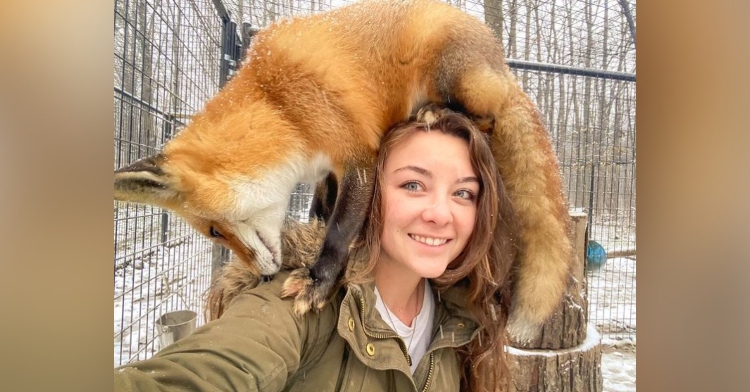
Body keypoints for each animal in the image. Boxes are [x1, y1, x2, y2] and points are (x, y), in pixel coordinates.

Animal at [111, 0, 572, 340]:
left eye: (213, 232)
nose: (264, 275)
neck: (280, 105)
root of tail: (501, 61)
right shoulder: (325, 169)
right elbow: (323, 206)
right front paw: (312, 234)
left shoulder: (359, 155)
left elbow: (339, 230)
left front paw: (318, 280)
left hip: (454, 74)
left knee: (488, 119)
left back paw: (435, 112)